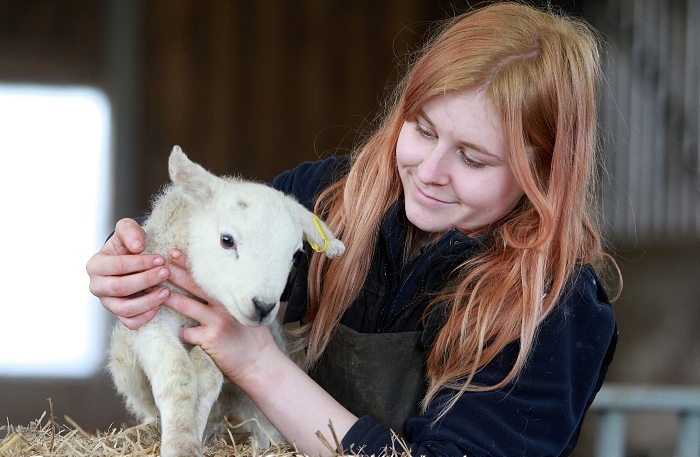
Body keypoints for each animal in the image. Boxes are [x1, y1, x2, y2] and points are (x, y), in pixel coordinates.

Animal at [106, 146, 344, 456]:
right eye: (227, 240)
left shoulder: (219, 331)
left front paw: (191, 434)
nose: (263, 307)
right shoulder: (154, 313)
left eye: (294, 255)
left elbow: (207, 377)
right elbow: (179, 374)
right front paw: (181, 441)